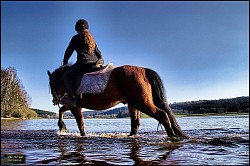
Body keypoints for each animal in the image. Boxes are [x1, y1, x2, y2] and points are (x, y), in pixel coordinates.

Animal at [47, 64, 188, 138]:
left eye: (50, 84)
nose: (54, 100)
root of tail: (144, 69)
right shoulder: (73, 104)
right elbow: (62, 110)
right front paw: (62, 127)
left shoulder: (75, 106)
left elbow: (80, 122)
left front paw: (79, 134)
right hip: (134, 104)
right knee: (135, 123)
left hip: (143, 103)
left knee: (162, 115)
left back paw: (172, 136)